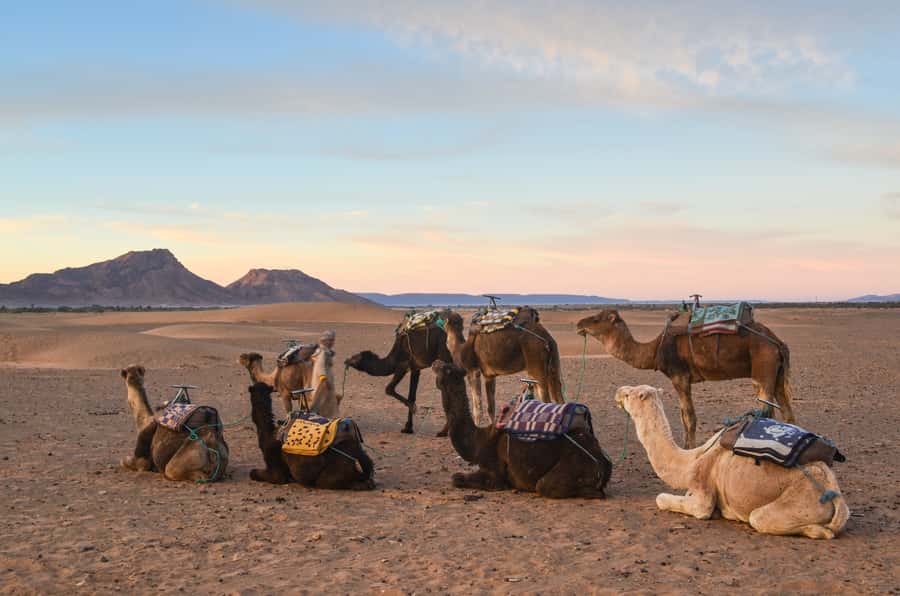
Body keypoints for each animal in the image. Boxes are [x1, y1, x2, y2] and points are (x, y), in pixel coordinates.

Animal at [432, 361, 611, 498]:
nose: (435, 362)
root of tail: (603, 462)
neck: (478, 440)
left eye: (445, 369)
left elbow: (456, 478)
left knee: (544, 486)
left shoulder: (494, 474)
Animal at [576, 309, 795, 448]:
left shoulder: (679, 376)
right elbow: (683, 417)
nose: (579, 324)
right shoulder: (682, 379)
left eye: (597, 319)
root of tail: (777, 343)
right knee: (787, 412)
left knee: (766, 411)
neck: (654, 349)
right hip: (776, 374)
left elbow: (689, 418)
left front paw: (689, 451)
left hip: (762, 369)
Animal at [614, 385, 848, 539]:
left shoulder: (702, 492)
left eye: (628, 394)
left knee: (760, 518)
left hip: (797, 503)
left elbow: (663, 499)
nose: (618, 390)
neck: (691, 461)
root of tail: (833, 492)